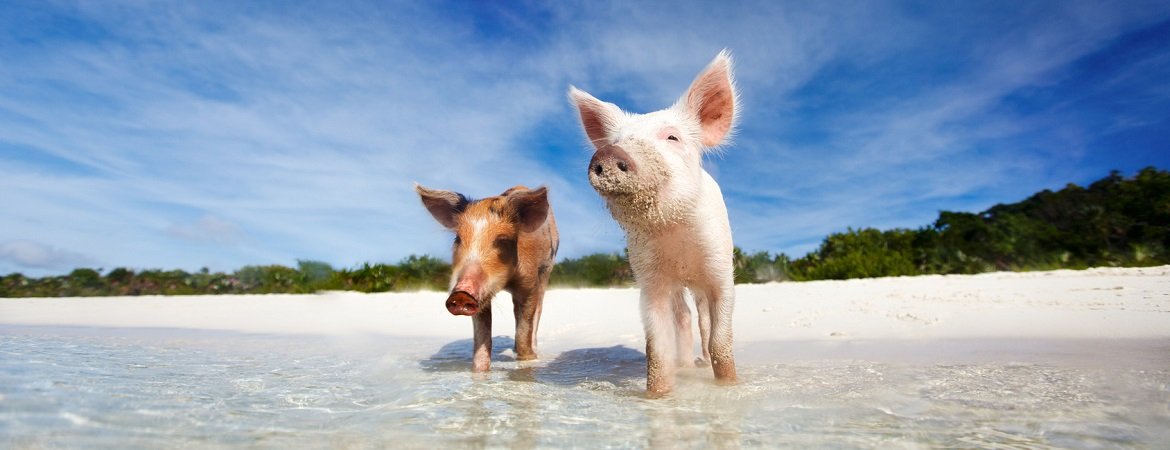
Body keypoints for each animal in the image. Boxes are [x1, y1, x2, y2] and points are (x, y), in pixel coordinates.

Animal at [568, 48, 739, 392]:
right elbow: (656, 349)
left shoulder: (720, 268)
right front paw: (658, 395)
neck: (673, 231)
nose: (608, 154)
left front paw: (730, 386)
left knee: (702, 319)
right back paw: (685, 365)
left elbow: (720, 340)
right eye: (617, 140)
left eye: (672, 137)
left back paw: (700, 363)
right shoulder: (649, 278)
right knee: (683, 318)